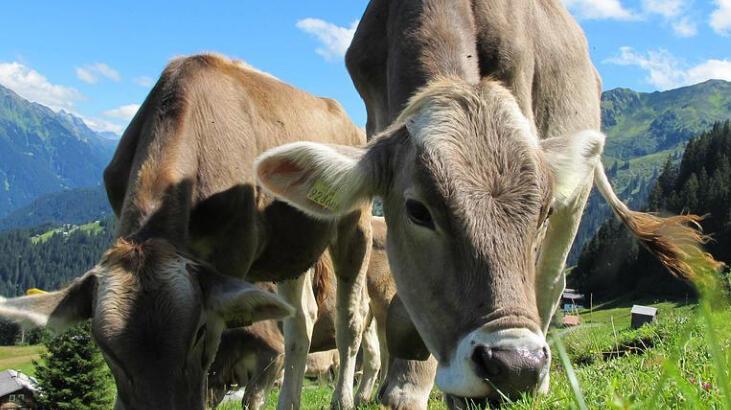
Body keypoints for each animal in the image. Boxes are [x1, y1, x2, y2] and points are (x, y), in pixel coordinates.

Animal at [0, 53, 372, 410]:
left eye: (199, 332)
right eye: (105, 348)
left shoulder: (232, 256)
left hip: (355, 225)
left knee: (350, 319)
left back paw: (345, 398)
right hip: (291, 250)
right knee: (301, 320)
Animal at [256, 0, 720, 406]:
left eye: (542, 212)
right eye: (417, 211)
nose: (516, 367)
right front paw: (408, 385)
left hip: (577, 194)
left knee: (551, 283)